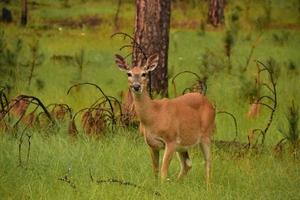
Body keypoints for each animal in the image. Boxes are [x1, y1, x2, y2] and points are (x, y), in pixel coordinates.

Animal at [115, 53, 216, 183]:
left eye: (144, 73)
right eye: (129, 73)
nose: (136, 86)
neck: (153, 116)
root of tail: (210, 103)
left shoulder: (170, 139)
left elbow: (163, 172)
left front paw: (162, 186)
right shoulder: (151, 144)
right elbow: (155, 170)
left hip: (206, 134)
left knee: (208, 161)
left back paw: (208, 185)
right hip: (183, 144)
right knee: (187, 164)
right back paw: (178, 182)